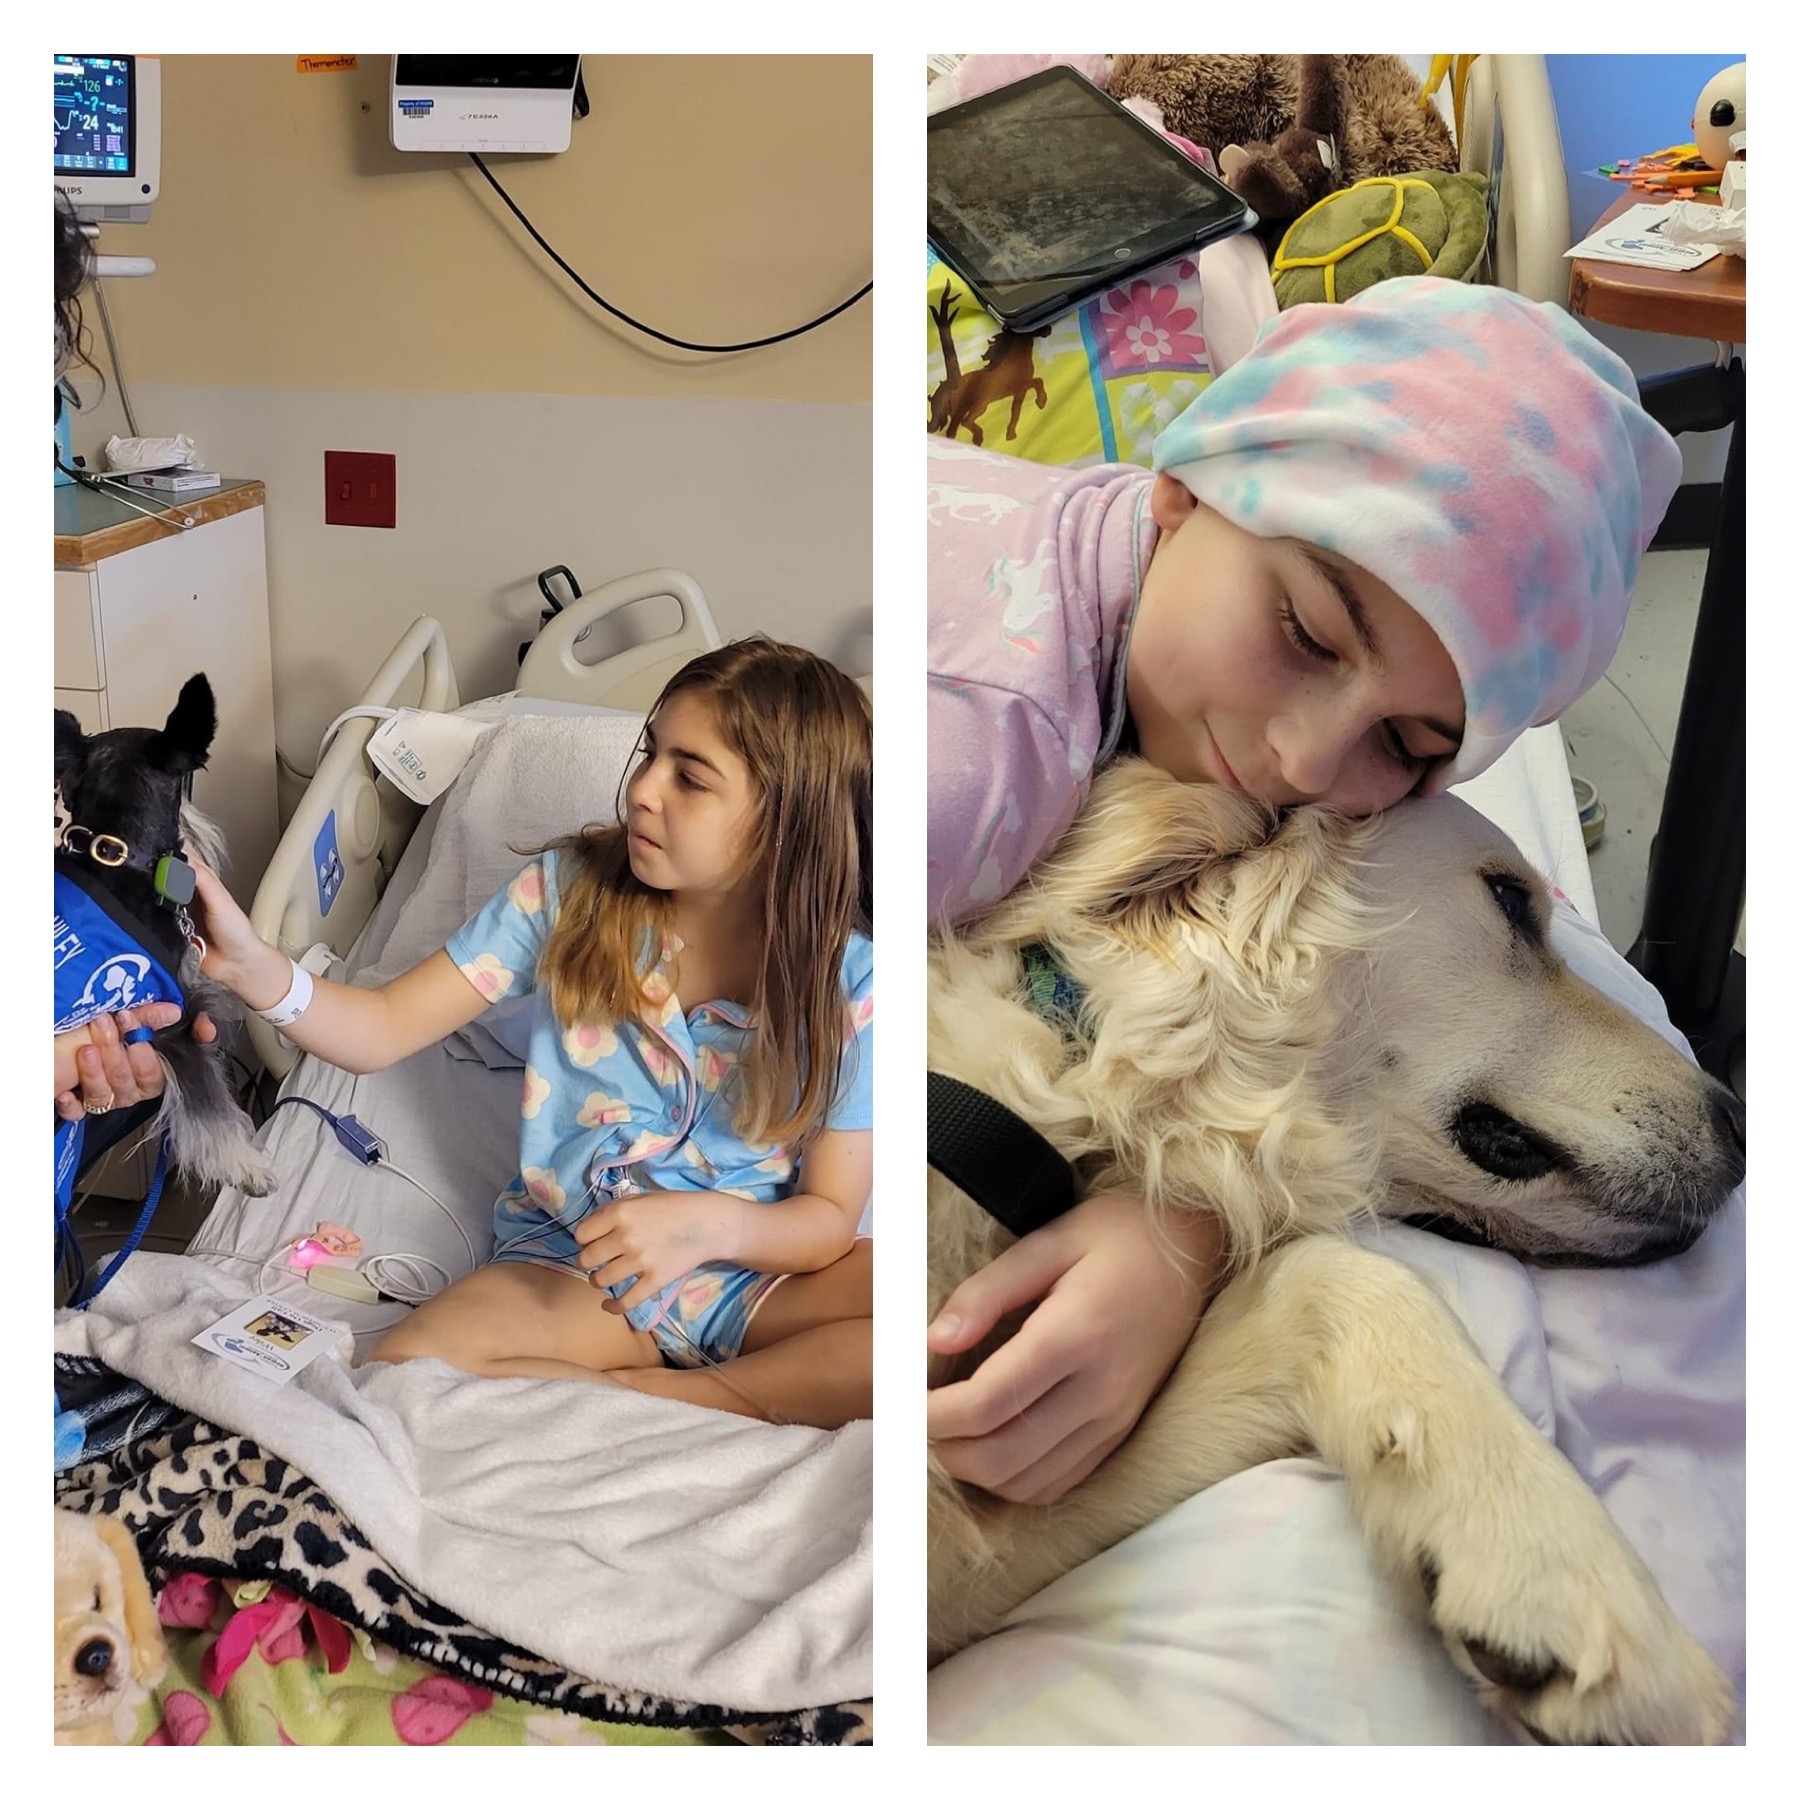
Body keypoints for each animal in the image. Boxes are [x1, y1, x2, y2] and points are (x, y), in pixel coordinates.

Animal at [928, 759, 1742, 1742]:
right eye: (1511, 901)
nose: (1742, 1126)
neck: (1076, 1079)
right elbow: (1341, 1268)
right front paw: (1558, 1565)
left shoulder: (998, 1509)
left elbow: (1305, 1271)